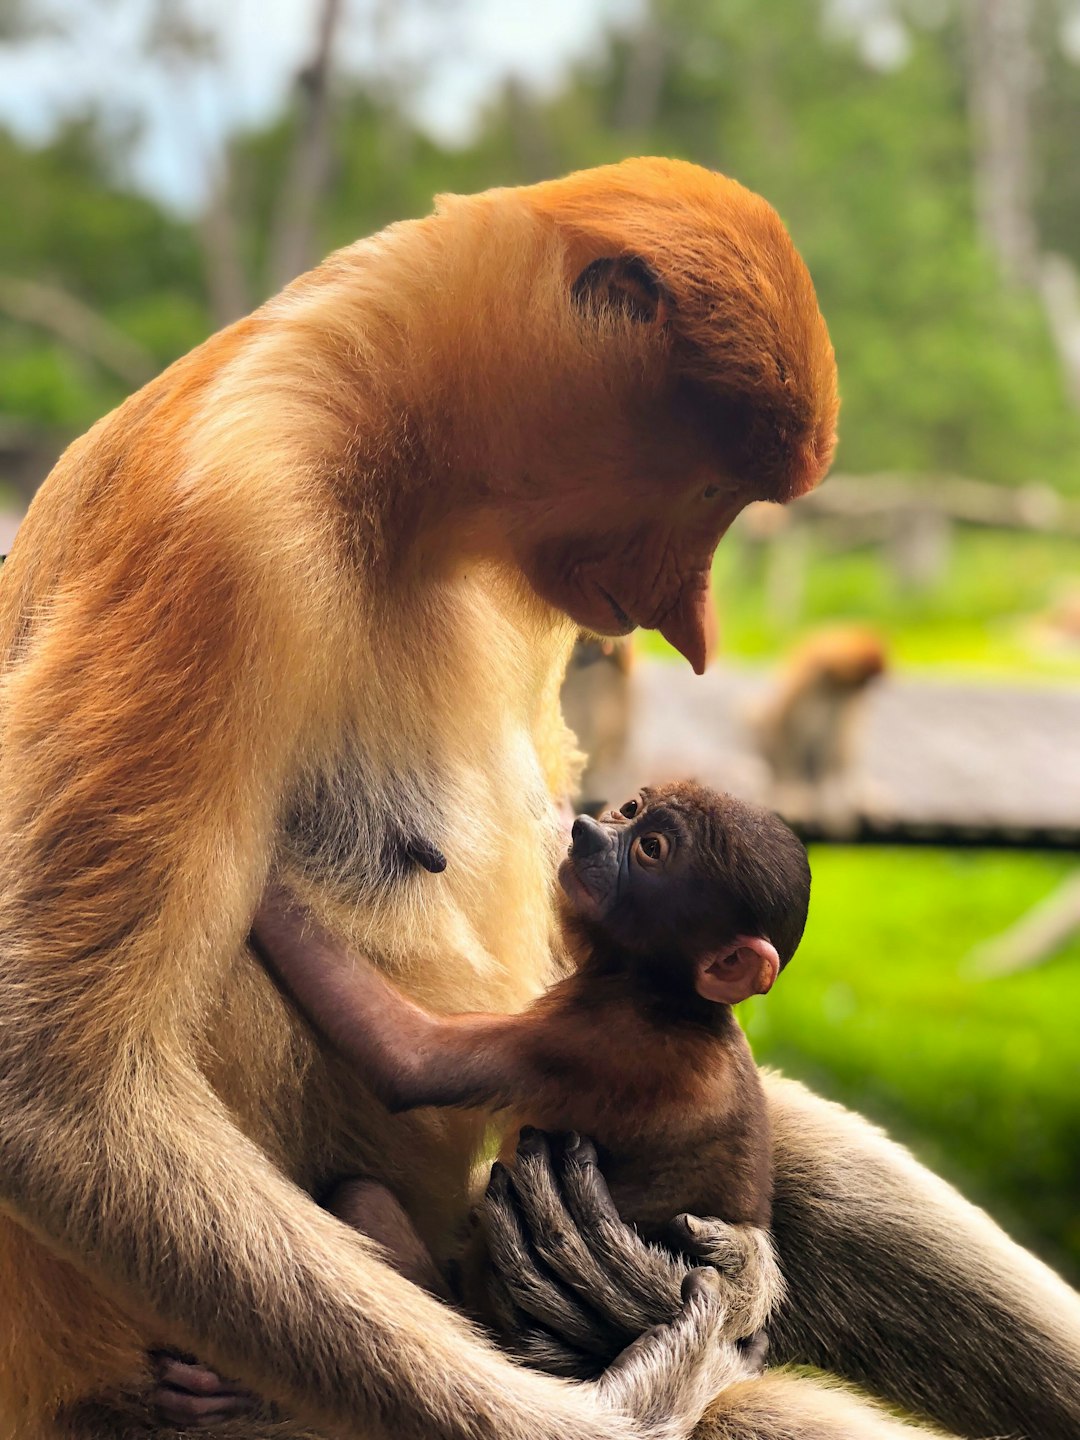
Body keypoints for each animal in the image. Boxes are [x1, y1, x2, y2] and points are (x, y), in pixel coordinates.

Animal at [252, 783, 812, 1342]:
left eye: (649, 849)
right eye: (632, 809)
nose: (588, 830)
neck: (678, 1000)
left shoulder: (598, 1039)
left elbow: (410, 1061)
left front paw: (266, 898)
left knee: (361, 1196)